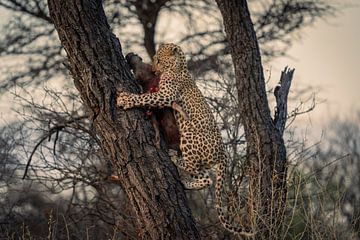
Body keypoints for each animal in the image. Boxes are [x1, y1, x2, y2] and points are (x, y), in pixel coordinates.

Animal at [117, 43, 253, 236]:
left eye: (158, 59)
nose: (154, 69)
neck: (179, 66)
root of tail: (223, 155)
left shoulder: (165, 95)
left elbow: (145, 98)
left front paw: (126, 99)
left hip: (189, 137)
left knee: (198, 171)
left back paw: (175, 158)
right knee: (205, 178)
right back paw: (185, 182)